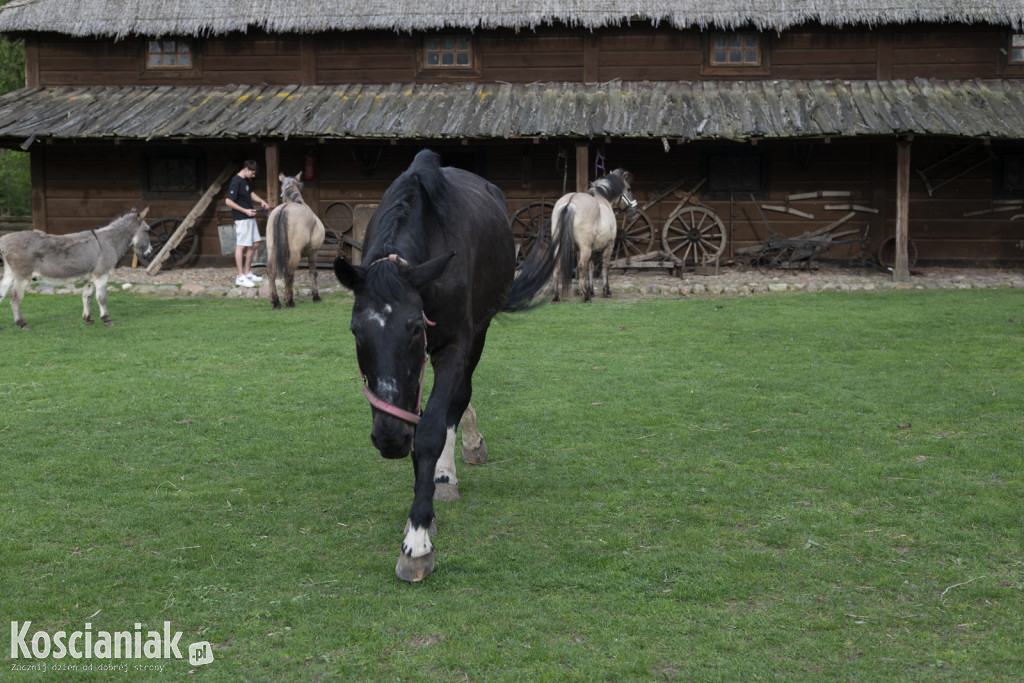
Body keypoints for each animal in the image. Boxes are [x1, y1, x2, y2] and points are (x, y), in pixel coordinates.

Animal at [0, 205, 151, 327]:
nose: (149, 253)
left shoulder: (89, 278)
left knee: (2, 292)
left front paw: (88, 319)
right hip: (22, 276)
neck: (109, 242)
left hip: (9, 274)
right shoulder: (101, 275)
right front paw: (107, 319)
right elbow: (102, 298)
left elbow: (87, 297)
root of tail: (4, 240)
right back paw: (21, 323)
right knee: (14, 297)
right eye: (147, 230)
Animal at [266, 171, 325, 309]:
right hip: (296, 253)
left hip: (272, 250)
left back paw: (276, 301)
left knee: (271, 272)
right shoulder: (314, 252)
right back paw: (289, 301)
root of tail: (284, 209)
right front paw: (316, 296)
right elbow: (313, 273)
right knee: (290, 273)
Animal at [333, 149, 561, 581]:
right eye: (356, 330)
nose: (388, 439)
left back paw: (448, 468)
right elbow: (418, 417)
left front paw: (418, 540)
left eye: (413, 327)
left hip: (480, 331)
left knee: (459, 396)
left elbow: (432, 427)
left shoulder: (455, 344)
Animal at [548, 167, 634, 301]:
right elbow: (604, 266)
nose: (633, 210)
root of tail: (569, 203)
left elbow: (591, 267)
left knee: (557, 266)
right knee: (581, 266)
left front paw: (591, 290)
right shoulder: (609, 245)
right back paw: (585, 296)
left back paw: (556, 296)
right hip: (585, 247)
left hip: (561, 246)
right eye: (629, 189)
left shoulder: (592, 248)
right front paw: (606, 291)